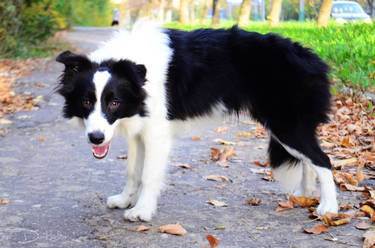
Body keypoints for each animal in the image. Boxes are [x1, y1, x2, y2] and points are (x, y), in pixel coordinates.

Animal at [57, 22, 340, 221]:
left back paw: (328, 207)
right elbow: (132, 171)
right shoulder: (139, 130)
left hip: (286, 125)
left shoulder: (156, 134)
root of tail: (311, 57)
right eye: (86, 101)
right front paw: (125, 200)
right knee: (308, 161)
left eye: (114, 102)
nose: (96, 138)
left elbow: (148, 175)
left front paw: (142, 211)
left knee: (322, 160)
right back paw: (304, 195)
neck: (136, 72)